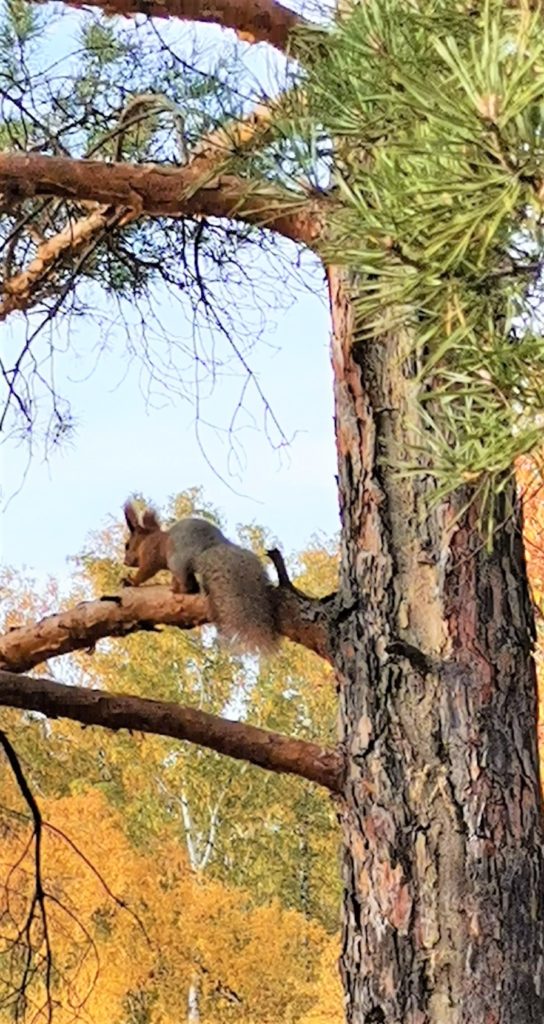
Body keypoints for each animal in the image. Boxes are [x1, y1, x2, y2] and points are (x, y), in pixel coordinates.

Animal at [121, 499, 278, 651]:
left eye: (127, 545)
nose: (125, 561)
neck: (150, 538)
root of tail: (209, 547)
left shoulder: (150, 555)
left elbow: (145, 572)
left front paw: (131, 581)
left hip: (177, 562)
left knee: (188, 586)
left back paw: (178, 589)